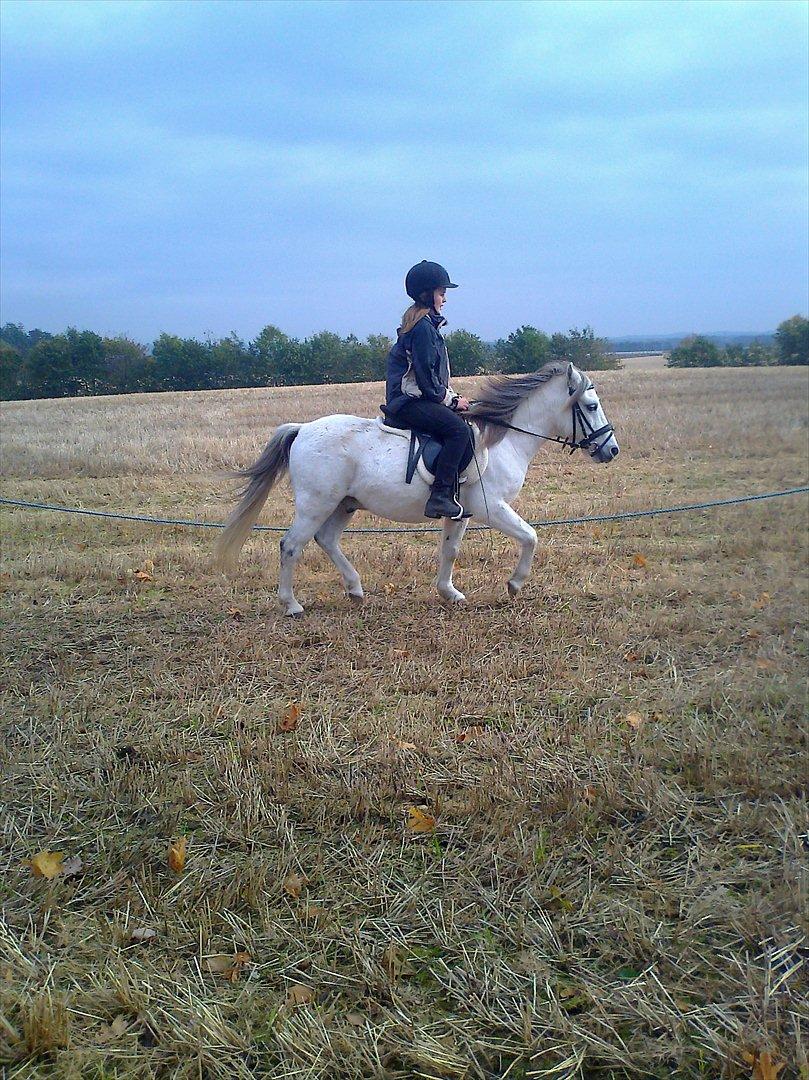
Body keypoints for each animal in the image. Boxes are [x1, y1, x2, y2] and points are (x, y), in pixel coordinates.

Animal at [218, 362, 613, 617]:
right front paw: (514, 584)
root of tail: (302, 429)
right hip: (316, 504)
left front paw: (449, 593)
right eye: (591, 406)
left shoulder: (461, 512)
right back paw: (291, 605)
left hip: (344, 504)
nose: (611, 450)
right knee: (291, 545)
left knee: (326, 540)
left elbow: (449, 551)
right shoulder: (492, 508)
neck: (504, 441)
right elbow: (531, 536)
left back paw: (355, 589)